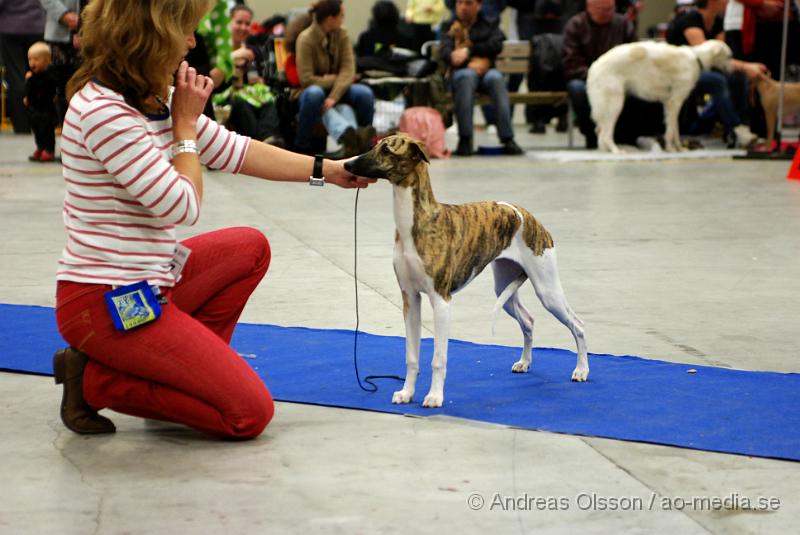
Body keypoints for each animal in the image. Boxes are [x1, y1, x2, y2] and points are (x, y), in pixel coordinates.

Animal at [344, 136, 588, 408]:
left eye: (387, 149)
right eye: (376, 144)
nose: (347, 165)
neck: (417, 221)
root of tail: (526, 215)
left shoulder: (441, 301)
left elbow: (438, 358)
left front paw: (434, 397)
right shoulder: (410, 298)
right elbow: (412, 356)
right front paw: (406, 393)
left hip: (547, 289)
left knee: (577, 325)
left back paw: (581, 370)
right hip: (503, 289)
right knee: (528, 320)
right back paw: (524, 363)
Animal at [588, 39, 732, 153]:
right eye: (729, 56)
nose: (733, 69)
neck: (697, 58)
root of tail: (594, 67)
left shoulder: (671, 105)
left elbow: (675, 130)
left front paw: (679, 148)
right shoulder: (674, 102)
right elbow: (670, 132)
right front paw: (670, 148)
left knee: (599, 131)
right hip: (615, 105)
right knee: (605, 134)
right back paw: (616, 151)